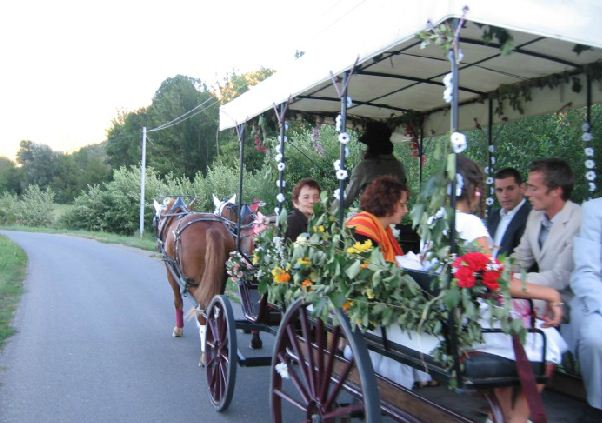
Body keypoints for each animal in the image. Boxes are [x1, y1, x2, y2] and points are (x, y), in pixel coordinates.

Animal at [152, 195, 255, 364]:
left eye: (157, 217)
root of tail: (211, 229)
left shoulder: (171, 273)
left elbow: (177, 302)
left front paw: (178, 329)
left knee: (202, 309)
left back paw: (206, 353)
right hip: (219, 277)